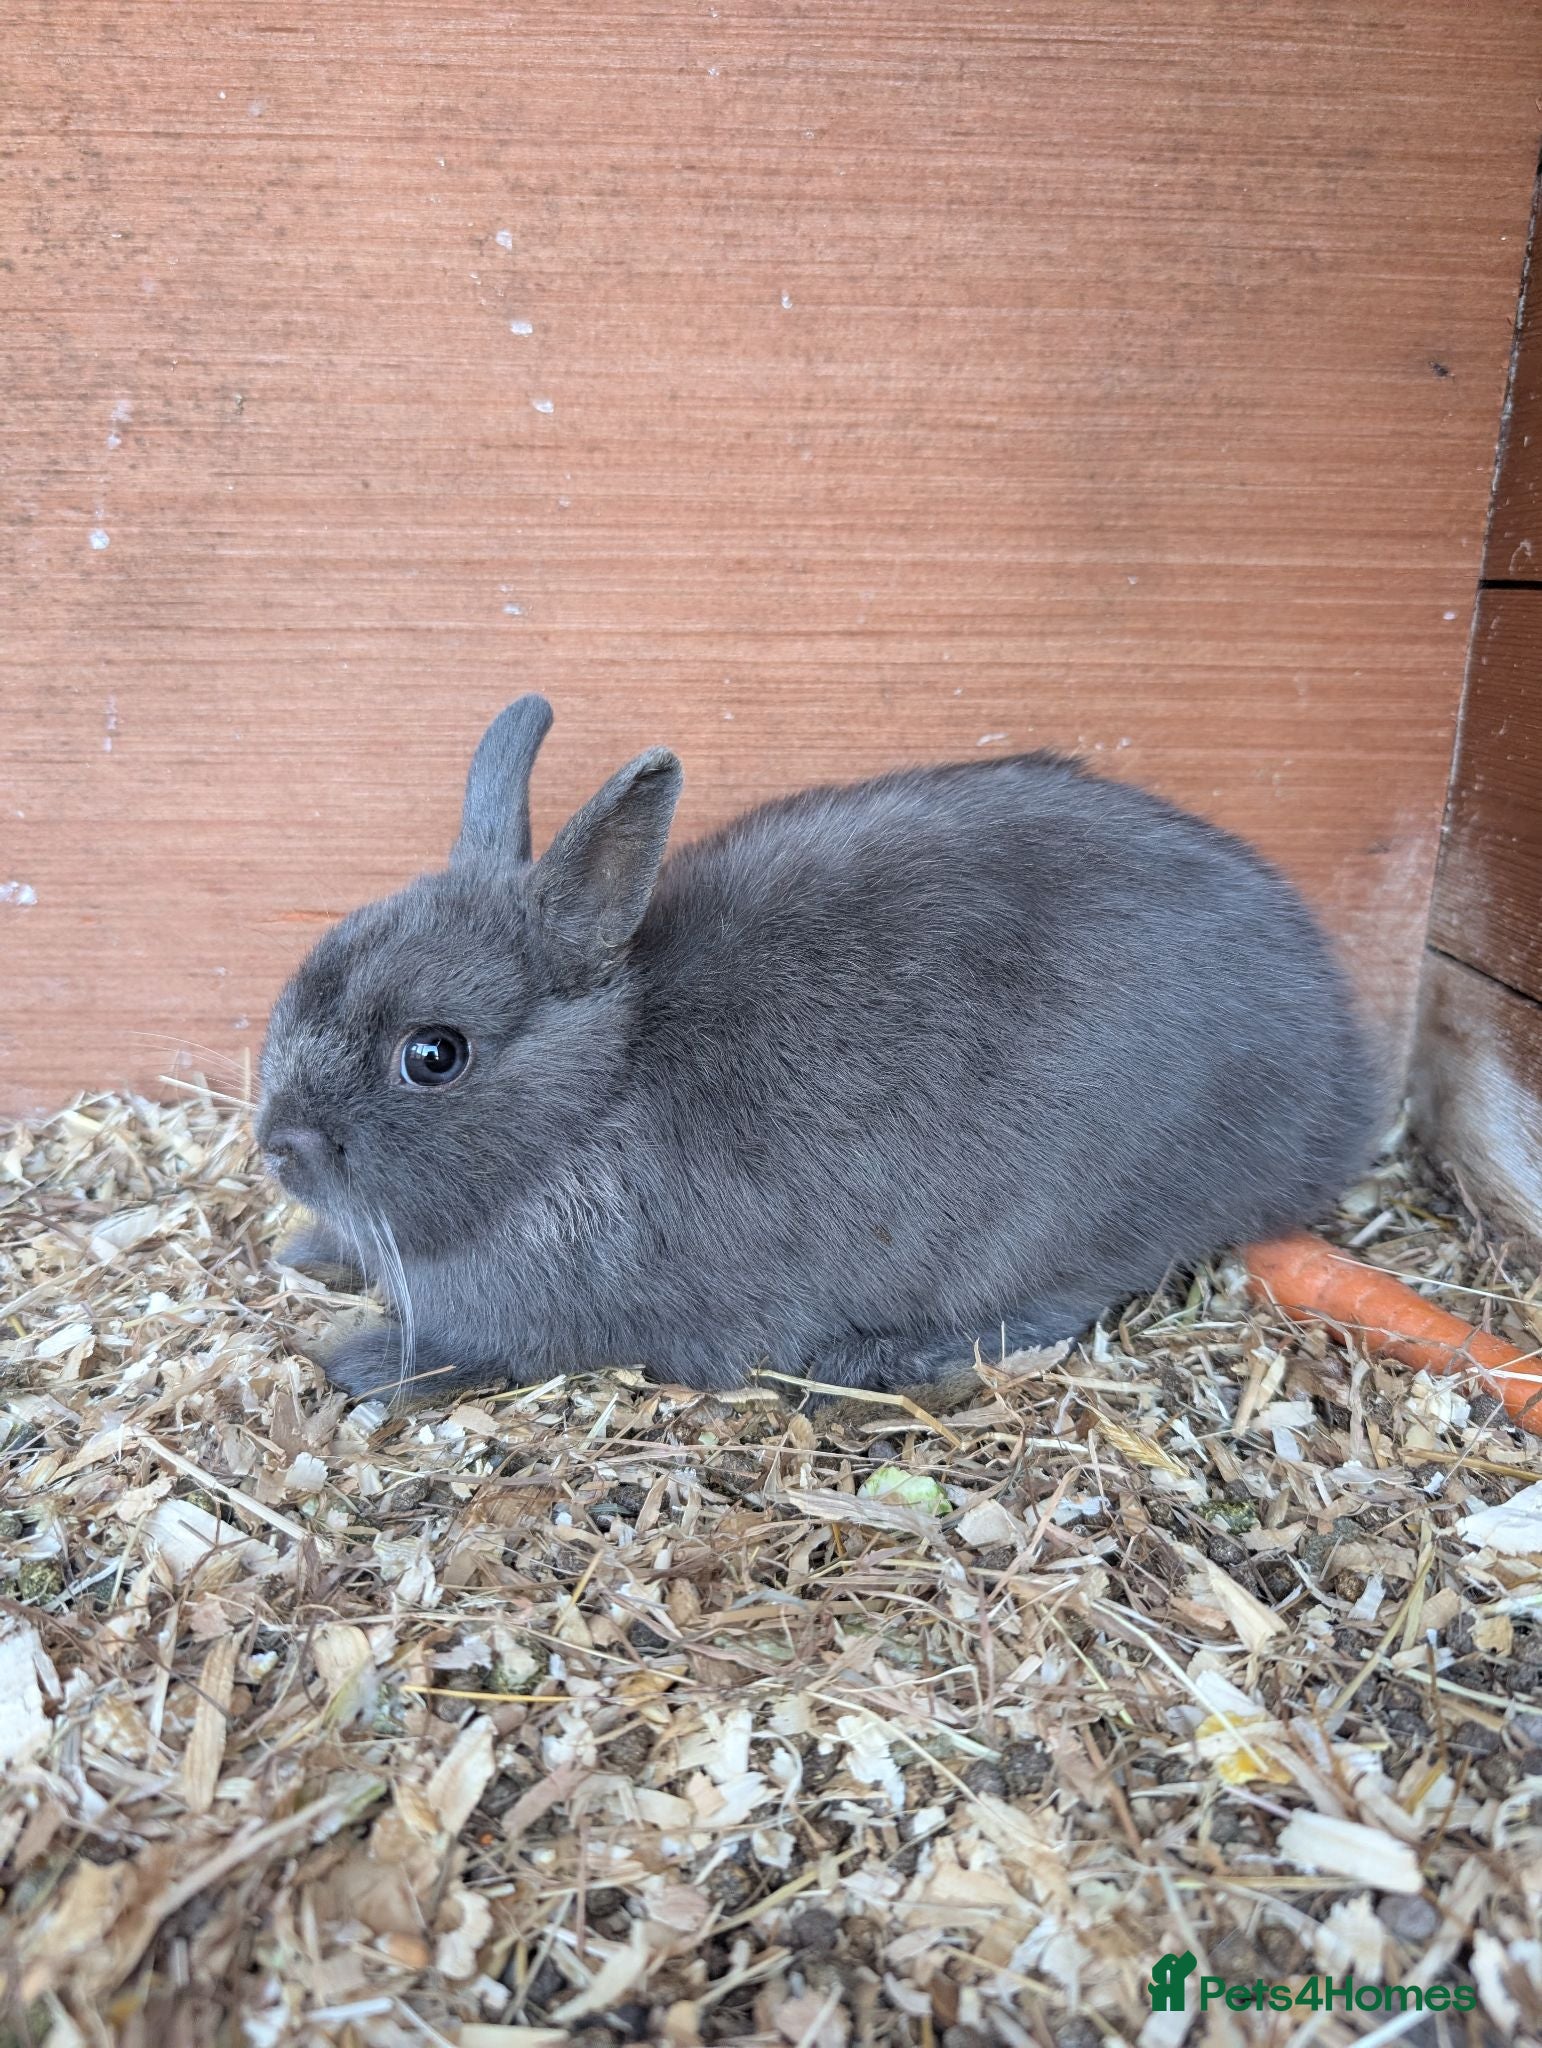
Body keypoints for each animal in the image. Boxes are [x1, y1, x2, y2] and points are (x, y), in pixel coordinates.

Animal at [256, 694, 1381, 1404]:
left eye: (433, 1054)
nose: (279, 1144)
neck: (598, 1100)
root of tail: (1333, 1087)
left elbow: (470, 1353)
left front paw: (360, 1363)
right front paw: (303, 1250)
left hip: (1058, 1213)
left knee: (1055, 1305)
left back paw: (870, 1361)